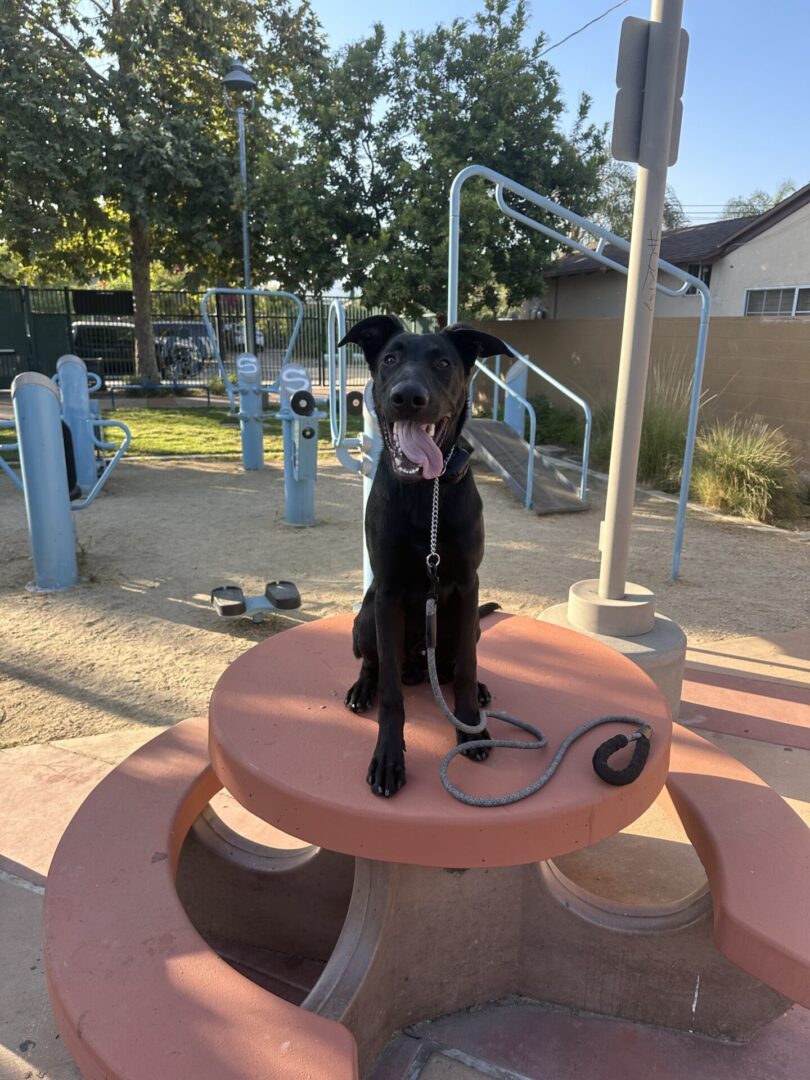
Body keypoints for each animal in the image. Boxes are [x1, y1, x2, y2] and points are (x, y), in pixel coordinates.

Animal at [337, 315, 510, 797]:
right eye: (390, 359)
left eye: (443, 363)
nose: (408, 397)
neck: (424, 492)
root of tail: (419, 661)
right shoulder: (388, 593)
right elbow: (391, 695)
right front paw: (388, 758)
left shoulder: (468, 585)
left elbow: (467, 669)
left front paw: (471, 730)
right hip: (366, 619)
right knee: (377, 665)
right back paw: (362, 689)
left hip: (467, 625)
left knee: (456, 664)